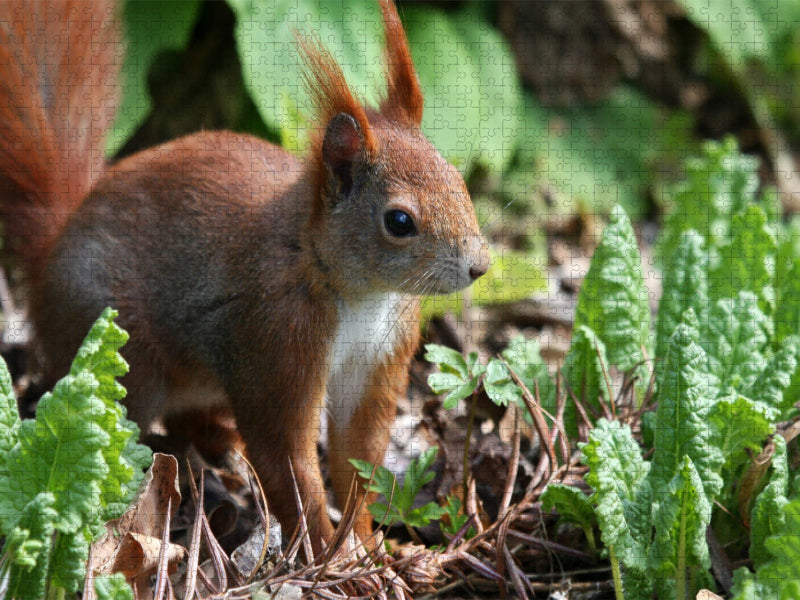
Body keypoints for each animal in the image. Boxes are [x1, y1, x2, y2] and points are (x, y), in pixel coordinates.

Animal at [0, 0, 490, 553]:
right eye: (400, 222)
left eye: (458, 180)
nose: (479, 265)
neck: (358, 292)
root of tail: (49, 257)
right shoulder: (275, 336)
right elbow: (288, 459)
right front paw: (329, 552)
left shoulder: (379, 357)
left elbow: (356, 458)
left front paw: (368, 542)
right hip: (122, 354)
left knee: (191, 412)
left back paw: (218, 441)